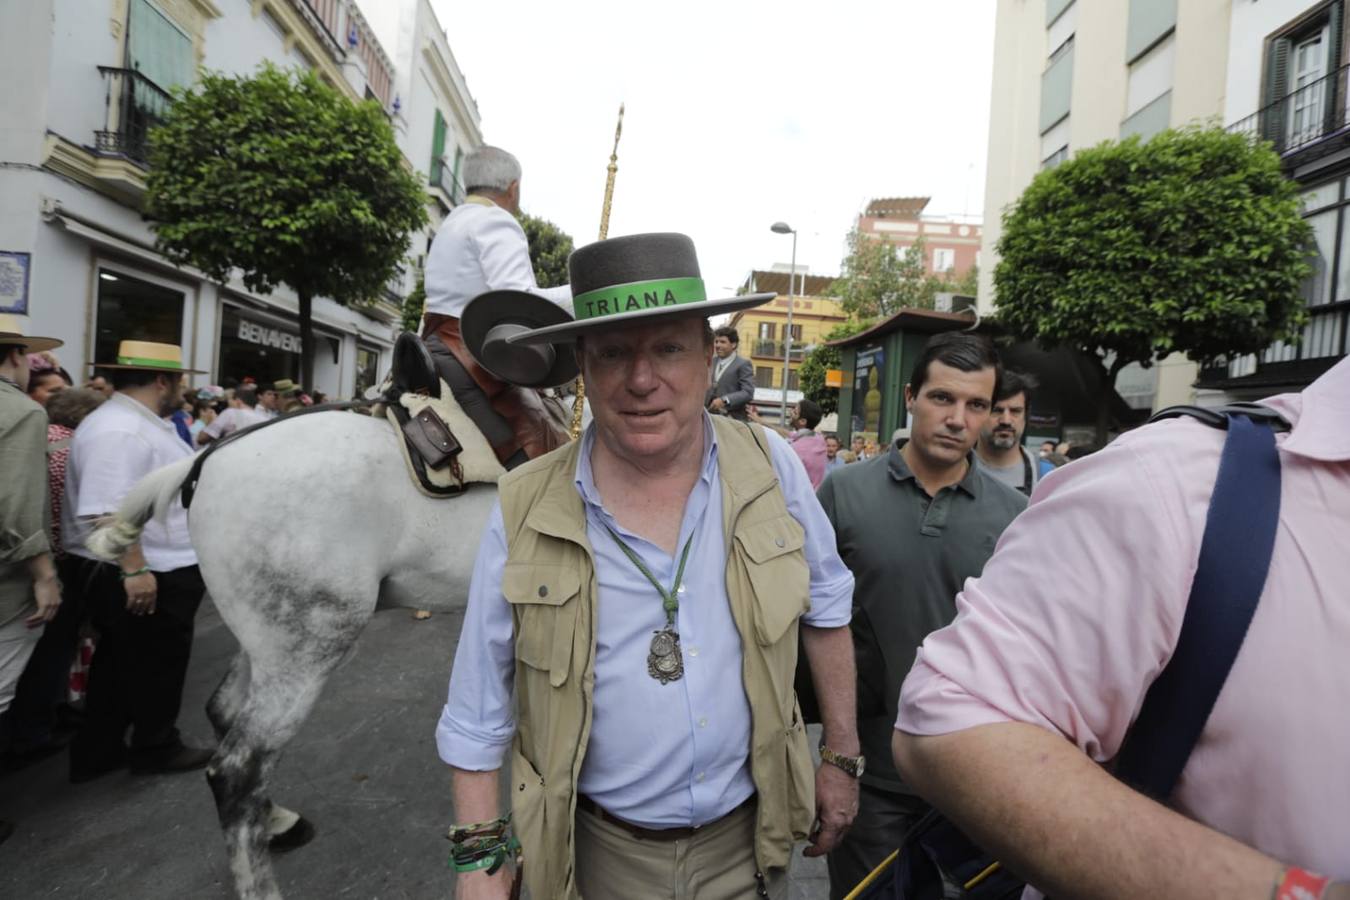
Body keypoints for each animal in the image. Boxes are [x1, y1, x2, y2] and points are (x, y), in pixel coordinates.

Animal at [88, 410, 502, 900]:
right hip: (307, 646)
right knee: (237, 770)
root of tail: (202, 463)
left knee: (224, 712)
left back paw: (277, 821)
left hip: (268, 645)